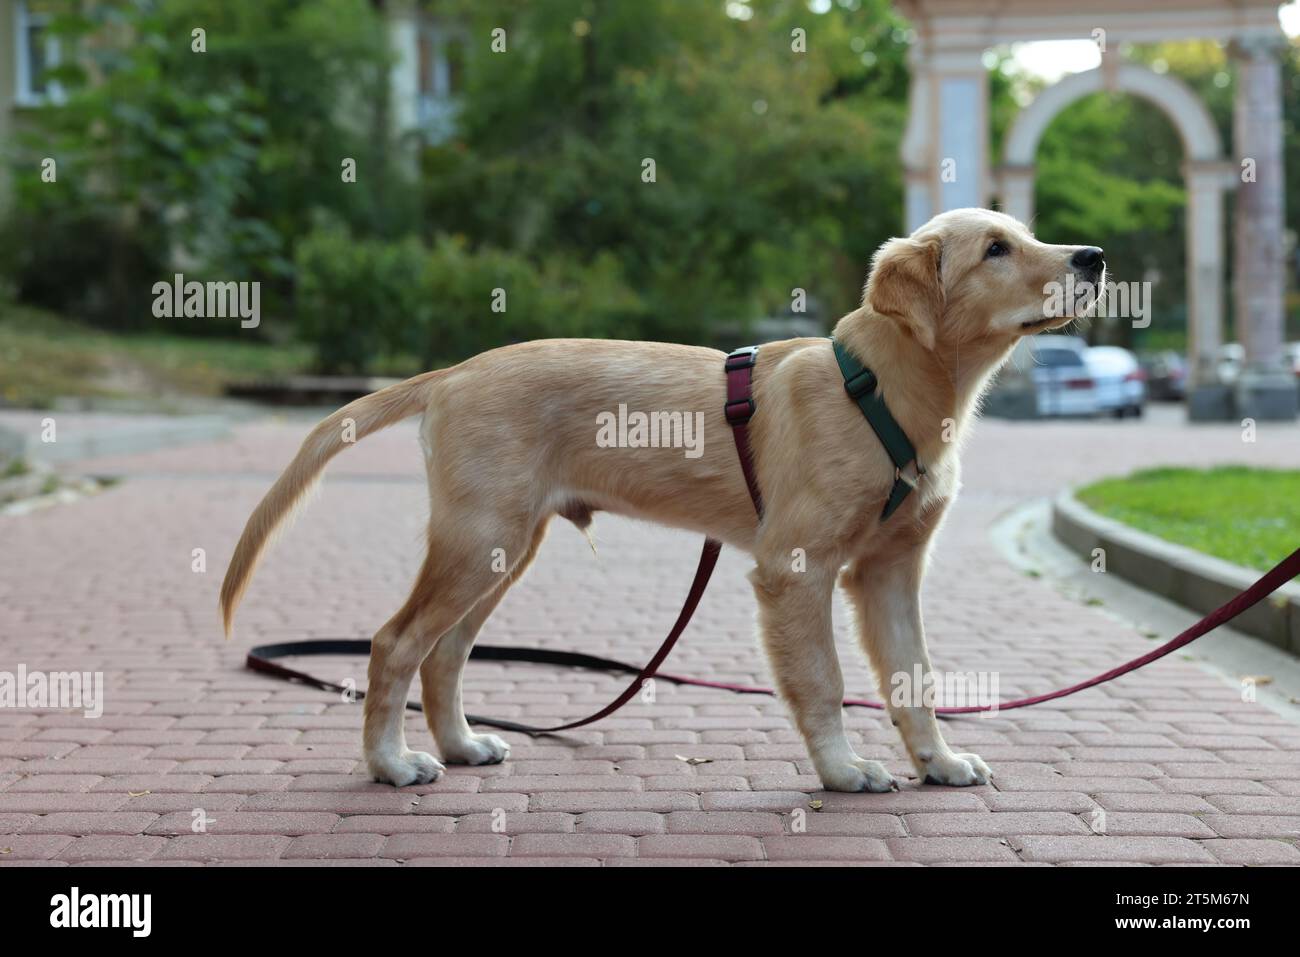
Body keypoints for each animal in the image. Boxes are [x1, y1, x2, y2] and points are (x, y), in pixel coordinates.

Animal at [218, 208, 1102, 790]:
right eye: (996, 249)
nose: (1093, 256)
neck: (883, 389)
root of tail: (452, 371)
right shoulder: (797, 568)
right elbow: (821, 680)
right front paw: (844, 768)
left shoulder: (889, 571)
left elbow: (913, 678)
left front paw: (939, 762)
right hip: (478, 539)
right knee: (396, 642)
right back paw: (391, 762)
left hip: (505, 546)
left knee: (445, 650)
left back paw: (464, 745)